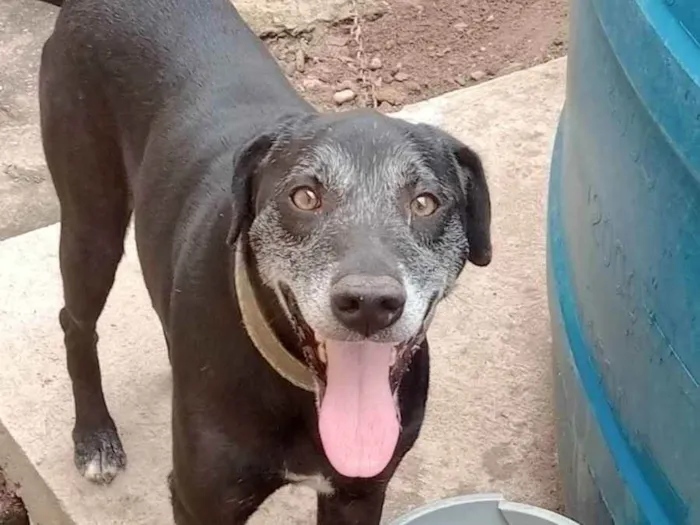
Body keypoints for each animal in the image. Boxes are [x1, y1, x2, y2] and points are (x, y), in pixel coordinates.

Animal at [38, 1, 490, 520]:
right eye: (305, 196)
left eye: (425, 203)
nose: (370, 303)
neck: (305, 391)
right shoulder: (201, 500)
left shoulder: (358, 494)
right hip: (91, 220)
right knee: (75, 322)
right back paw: (94, 436)